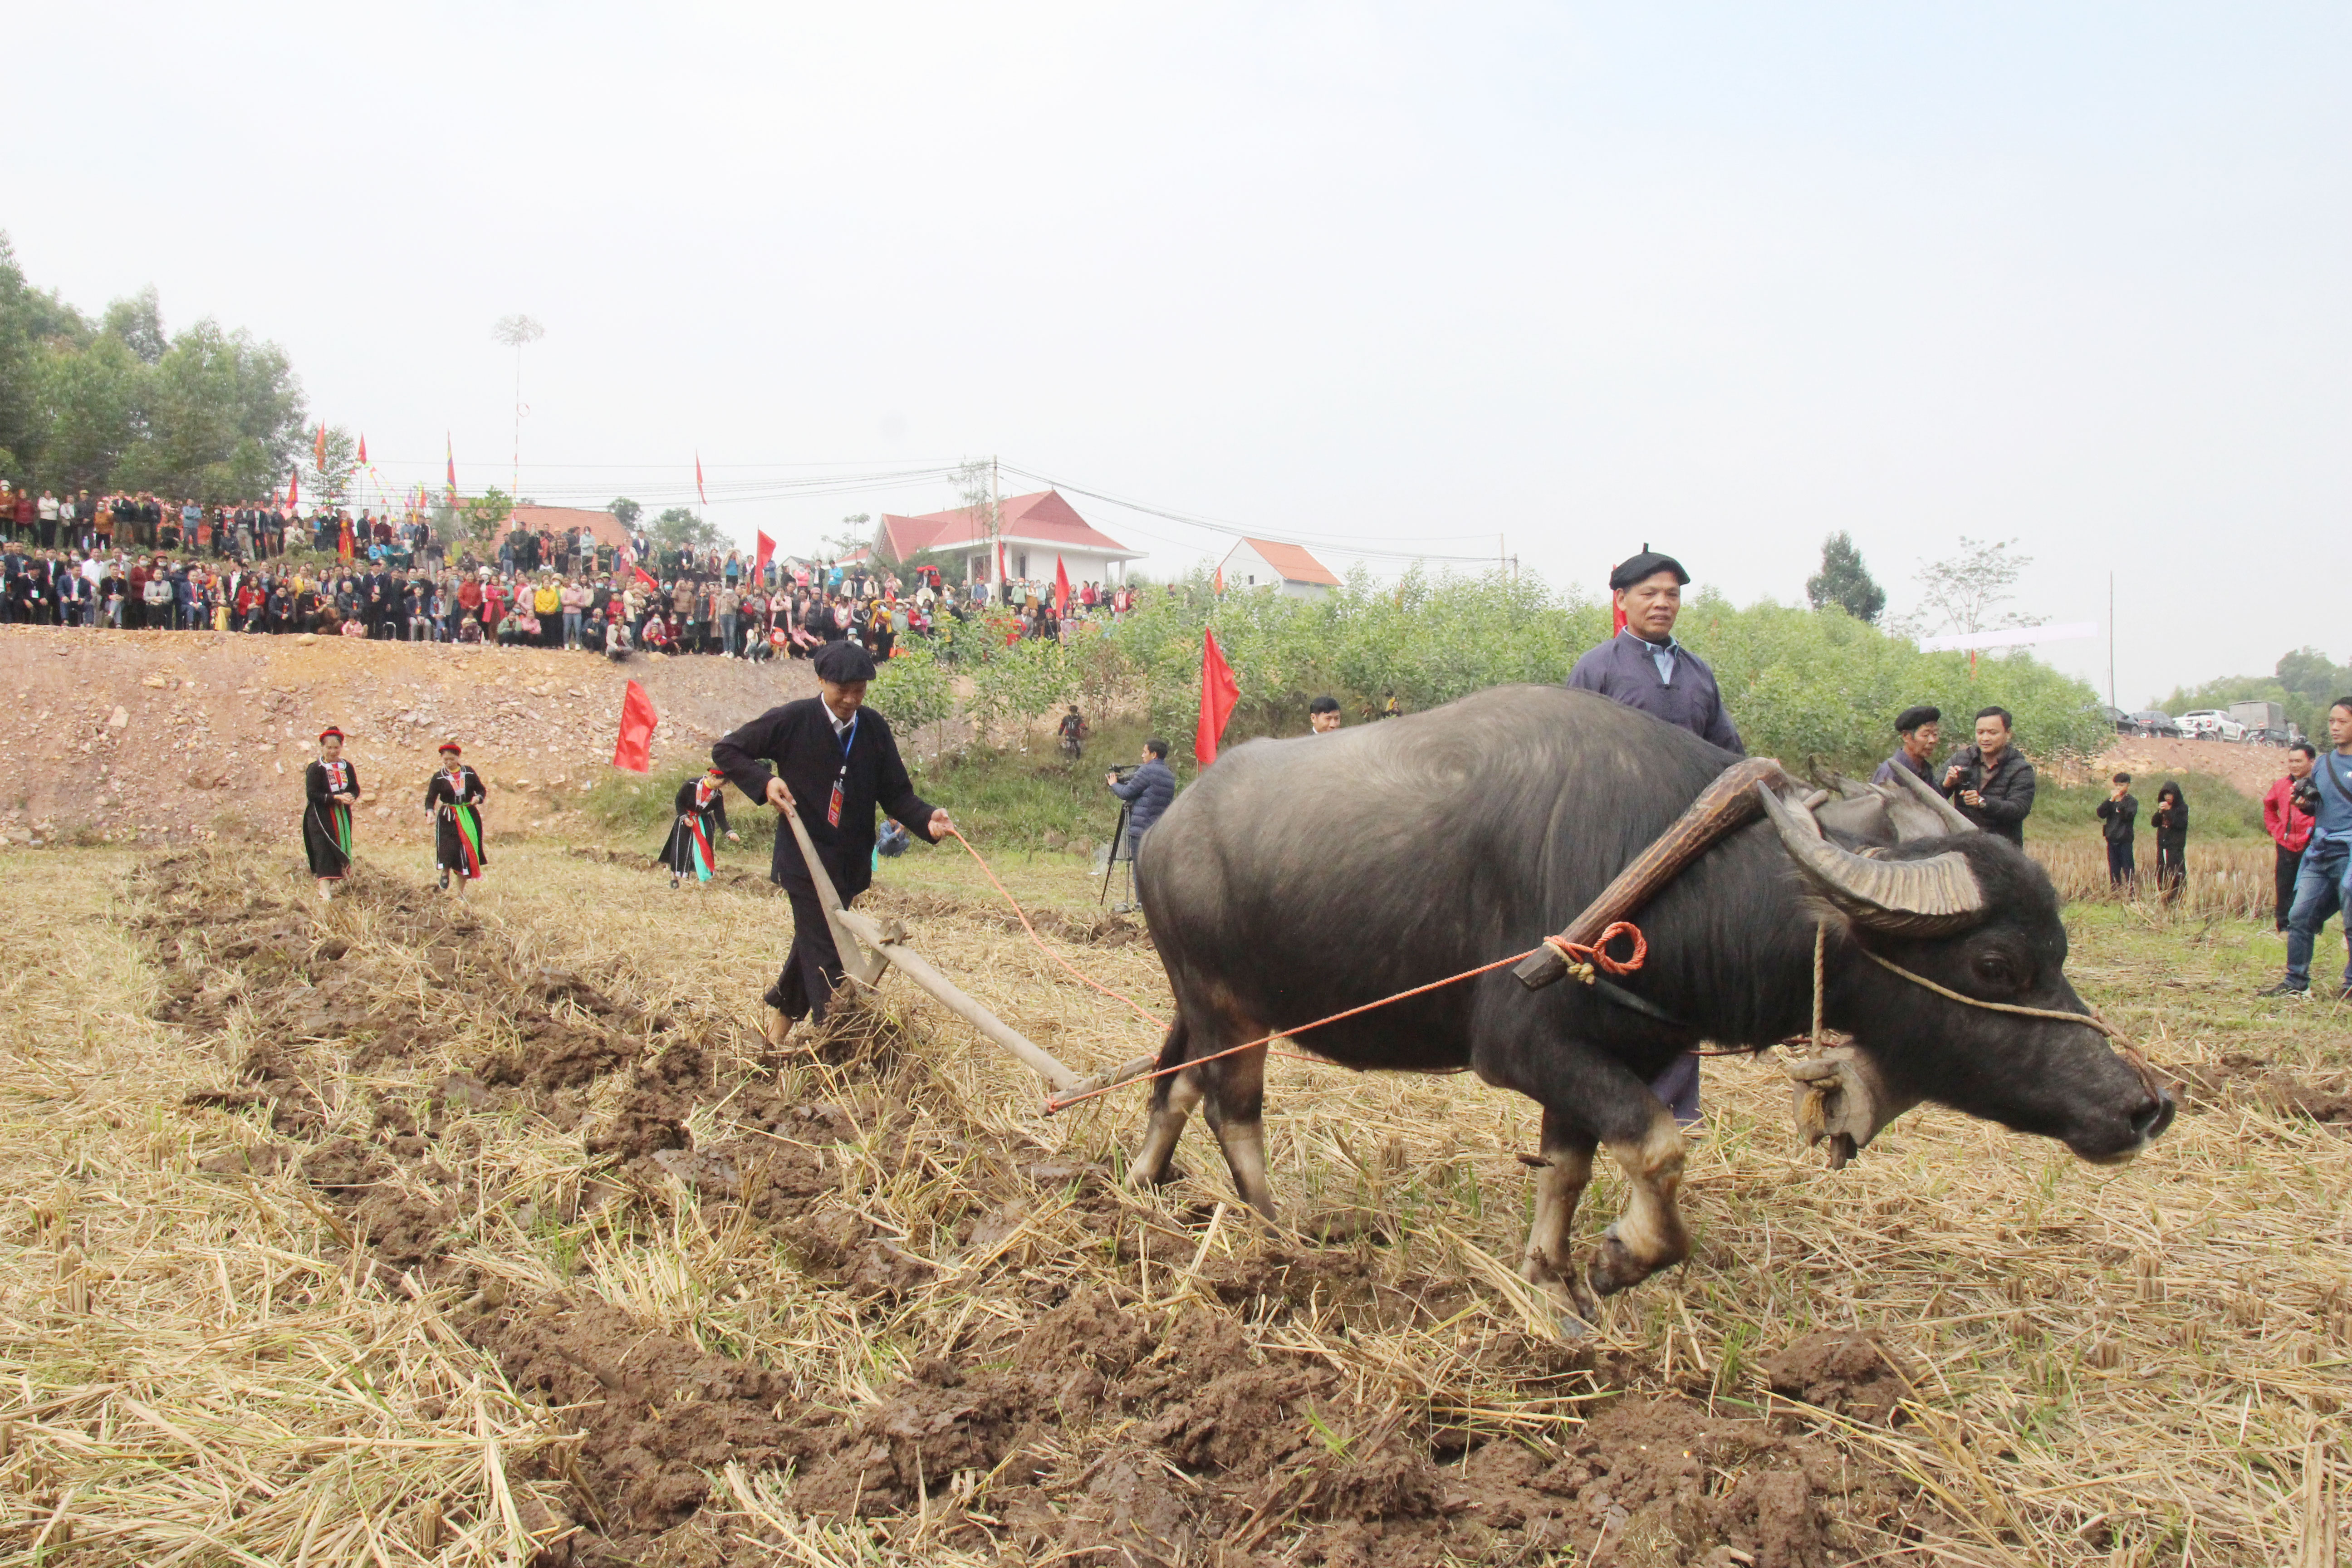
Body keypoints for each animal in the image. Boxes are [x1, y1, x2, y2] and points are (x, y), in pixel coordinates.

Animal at [1129, 681, 2173, 1316]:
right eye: (1995, 964)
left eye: (2060, 948)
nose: (2142, 1106)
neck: (1682, 882)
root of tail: (1169, 829)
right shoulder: (1521, 1046)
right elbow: (1662, 1146)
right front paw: (1621, 1258)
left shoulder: (1601, 1058)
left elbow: (1569, 1166)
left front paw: (1553, 1277)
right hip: (1232, 1012)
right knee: (1232, 1107)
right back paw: (1278, 1230)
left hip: (1201, 998)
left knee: (1170, 1081)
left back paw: (1142, 1181)